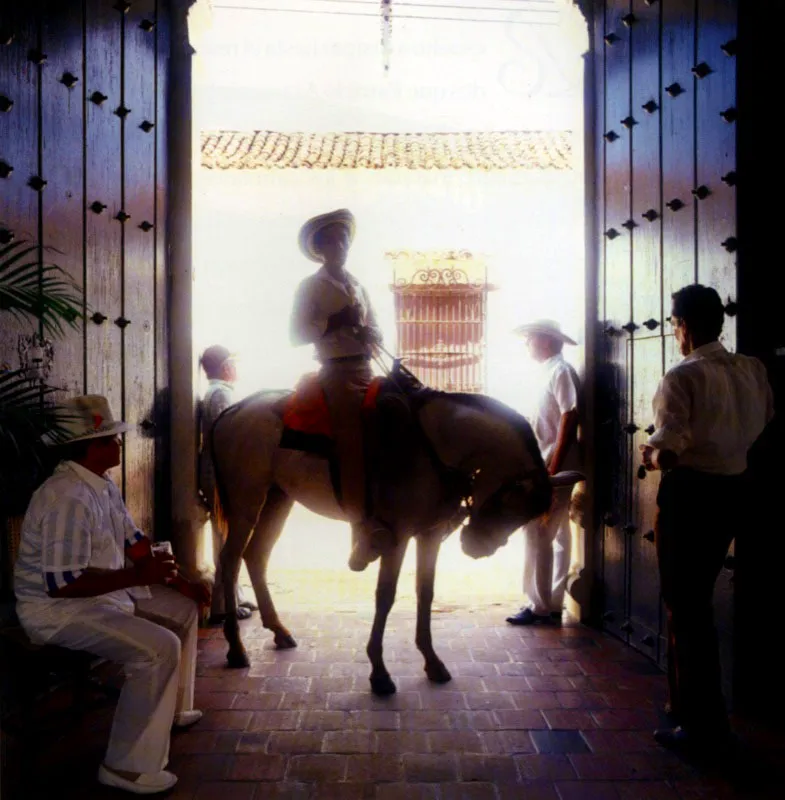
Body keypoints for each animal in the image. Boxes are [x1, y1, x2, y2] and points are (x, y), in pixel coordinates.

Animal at [211, 382, 572, 692]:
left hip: (277, 498)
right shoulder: (397, 536)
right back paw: (235, 647)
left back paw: (278, 630)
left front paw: (432, 662)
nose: (477, 548)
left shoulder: (429, 534)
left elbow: (425, 592)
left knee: (255, 555)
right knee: (229, 561)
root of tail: (235, 409)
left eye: (524, 516)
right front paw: (379, 672)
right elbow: (385, 595)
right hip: (245, 504)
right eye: (510, 502)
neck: (435, 446)